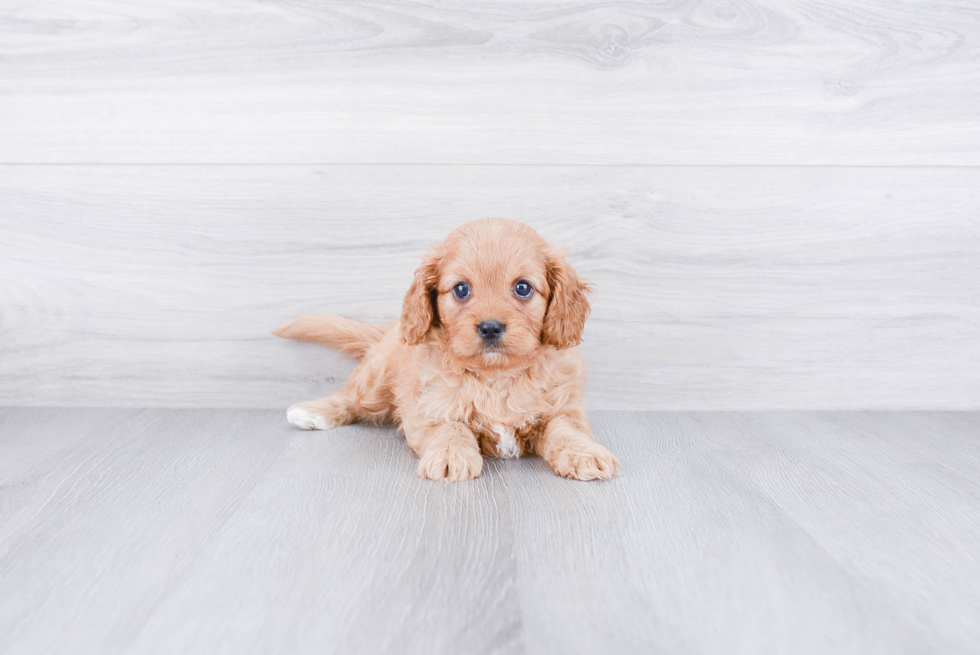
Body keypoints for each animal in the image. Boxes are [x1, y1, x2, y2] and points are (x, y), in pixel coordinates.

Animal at [272, 219, 616, 482]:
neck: (495, 377)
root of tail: (389, 330)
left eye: (523, 288)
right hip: (376, 378)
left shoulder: (564, 407)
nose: (490, 327)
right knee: (352, 398)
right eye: (461, 289)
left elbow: (565, 430)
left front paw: (585, 453)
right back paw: (314, 412)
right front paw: (451, 456)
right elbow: (451, 427)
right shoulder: (429, 406)